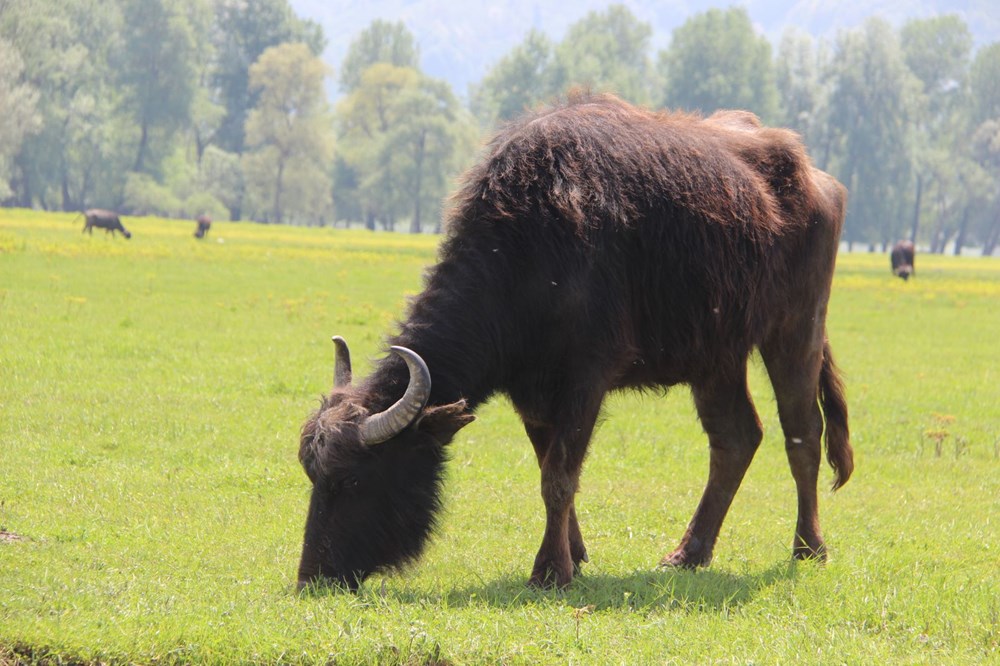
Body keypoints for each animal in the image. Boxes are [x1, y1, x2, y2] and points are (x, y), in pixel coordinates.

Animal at [296, 91, 852, 588]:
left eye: (353, 479)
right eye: (313, 476)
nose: (312, 577)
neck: (529, 249)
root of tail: (814, 177)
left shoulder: (586, 379)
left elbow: (559, 477)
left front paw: (551, 570)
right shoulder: (532, 391)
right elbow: (549, 468)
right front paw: (574, 553)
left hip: (796, 329)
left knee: (802, 433)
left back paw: (808, 547)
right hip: (716, 355)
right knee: (735, 438)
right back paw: (689, 553)